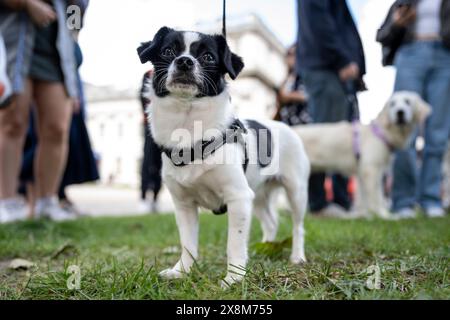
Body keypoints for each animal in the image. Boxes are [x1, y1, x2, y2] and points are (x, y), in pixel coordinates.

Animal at [137, 27, 310, 286]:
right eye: (167, 51)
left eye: (208, 57)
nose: (185, 61)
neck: (188, 129)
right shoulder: (185, 205)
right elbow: (188, 244)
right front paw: (182, 271)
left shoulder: (238, 197)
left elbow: (234, 243)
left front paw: (234, 277)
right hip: (257, 195)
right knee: (271, 222)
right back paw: (266, 249)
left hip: (295, 191)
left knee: (298, 227)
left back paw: (297, 256)